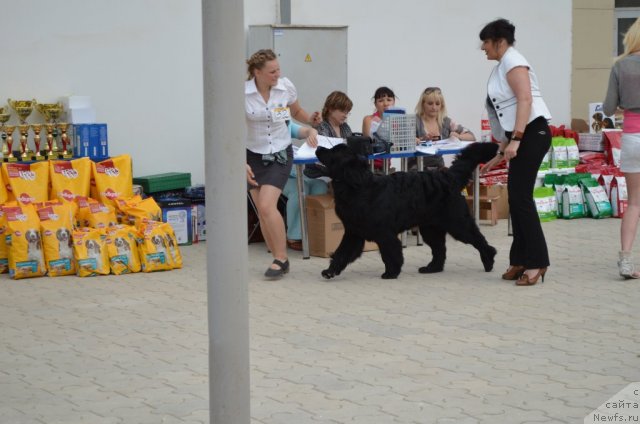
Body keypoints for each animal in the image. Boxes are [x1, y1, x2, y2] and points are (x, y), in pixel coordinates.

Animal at [316, 142, 500, 280]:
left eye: (334, 152)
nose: (318, 147)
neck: (358, 187)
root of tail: (448, 177)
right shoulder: (353, 232)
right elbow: (341, 253)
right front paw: (330, 271)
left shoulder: (384, 233)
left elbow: (391, 252)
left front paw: (391, 272)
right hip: (430, 228)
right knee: (440, 249)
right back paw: (432, 268)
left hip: (457, 223)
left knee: (478, 239)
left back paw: (489, 260)